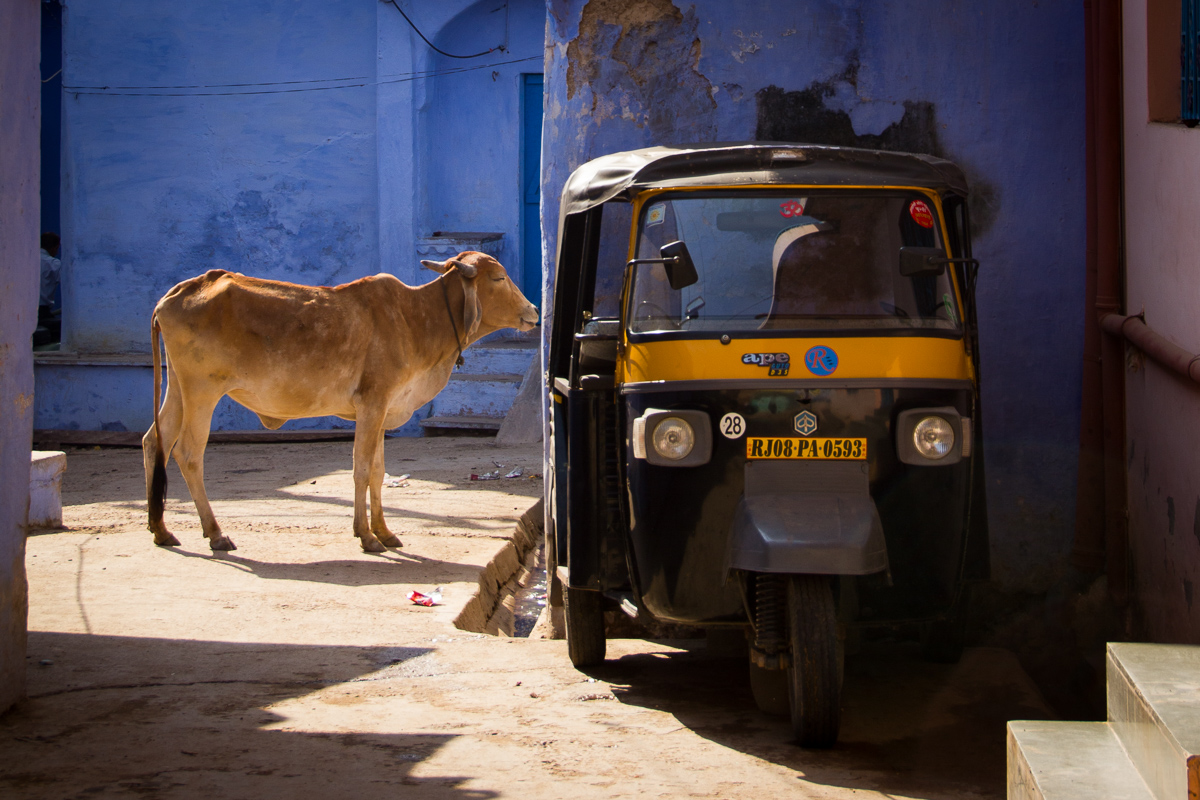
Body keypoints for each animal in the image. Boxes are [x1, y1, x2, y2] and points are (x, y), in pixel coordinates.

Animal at [140, 253, 540, 554]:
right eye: (499, 278)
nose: (534, 311)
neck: (417, 317)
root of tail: (173, 296)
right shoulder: (372, 404)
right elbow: (361, 469)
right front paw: (366, 536)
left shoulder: (382, 411)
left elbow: (378, 472)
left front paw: (385, 532)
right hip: (202, 392)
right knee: (188, 453)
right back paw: (215, 532)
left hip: (179, 390)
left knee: (152, 442)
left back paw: (161, 529)